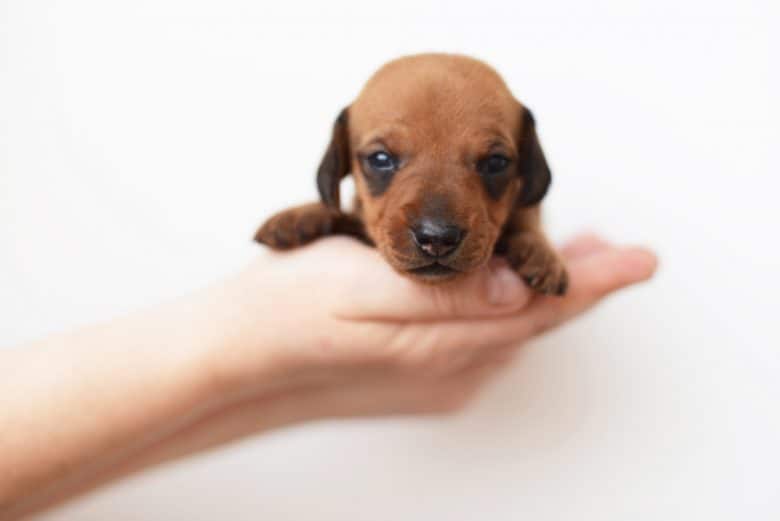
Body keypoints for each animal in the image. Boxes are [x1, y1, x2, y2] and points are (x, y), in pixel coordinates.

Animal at [256, 55, 568, 296]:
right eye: (380, 159)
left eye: (495, 163)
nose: (437, 239)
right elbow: (341, 214)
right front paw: (300, 216)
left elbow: (527, 220)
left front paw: (541, 252)